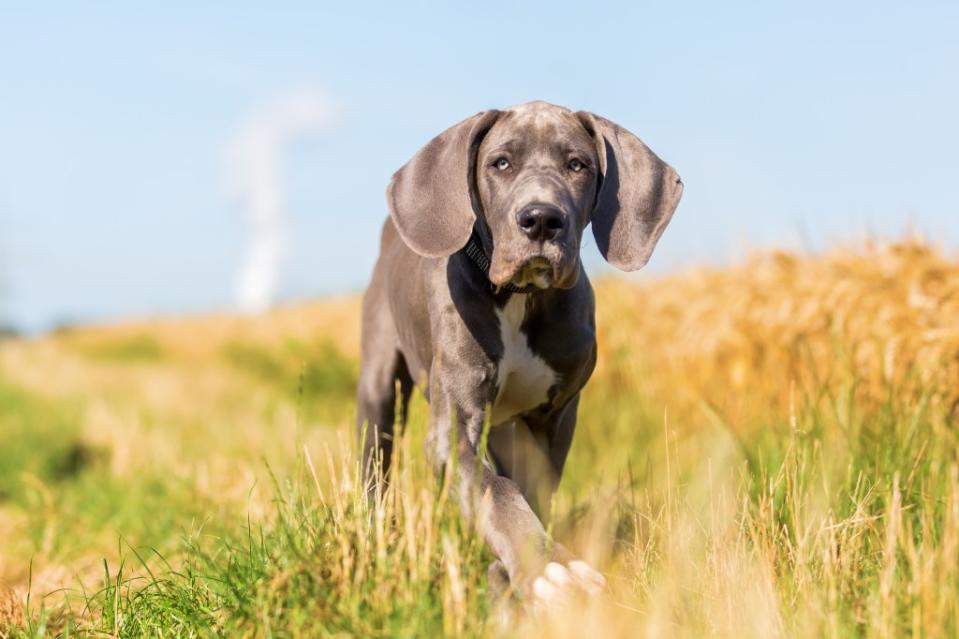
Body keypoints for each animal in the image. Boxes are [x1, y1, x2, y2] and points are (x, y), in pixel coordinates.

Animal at [358, 100, 684, 604]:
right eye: (501, 163)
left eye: (578, 165)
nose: (542, 219)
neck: (521, 297)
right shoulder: (454, 428)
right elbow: (498, 492)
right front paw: (550, 567)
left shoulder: (555, 419)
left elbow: (533, 493)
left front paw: (516, 572)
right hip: (379, 386)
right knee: (377, 461)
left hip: (507, 428)